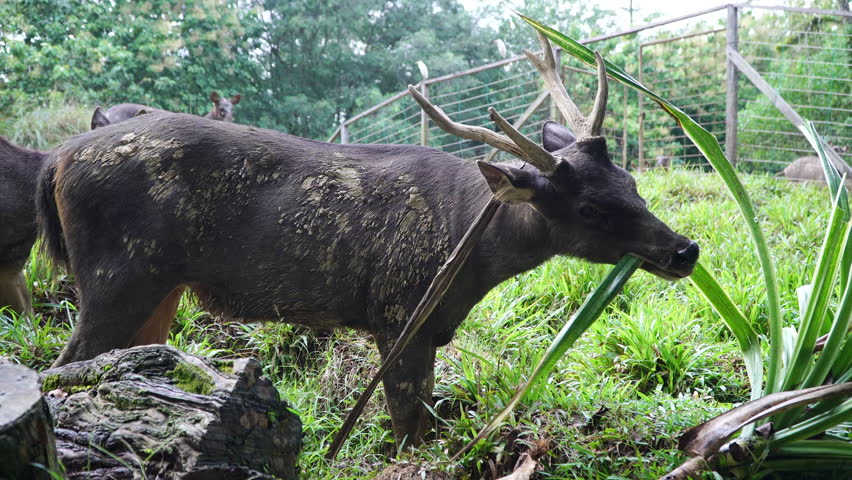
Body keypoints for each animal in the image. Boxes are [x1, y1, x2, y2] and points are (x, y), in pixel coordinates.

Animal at [37, 33, 698, 450]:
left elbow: (424, 413)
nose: (683, 250)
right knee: (63, 366)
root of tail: (57, 158)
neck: (472, 252)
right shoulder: (398, 306)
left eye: (631, 181)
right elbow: (406, 423)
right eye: (588, 208)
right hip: (117, 274)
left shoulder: (427, 324)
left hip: (158, 284)